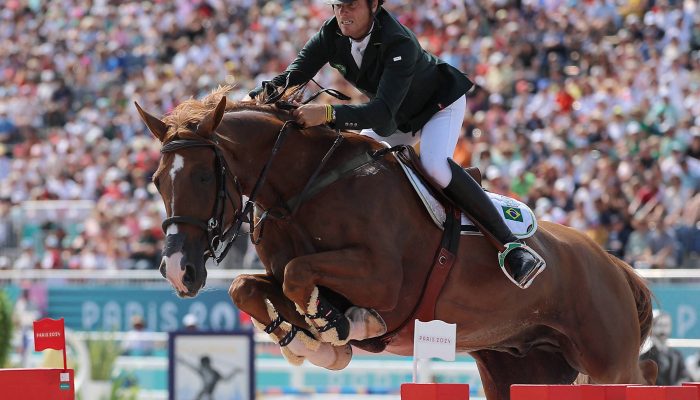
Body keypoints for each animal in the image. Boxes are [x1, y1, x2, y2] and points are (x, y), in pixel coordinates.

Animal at [135, 86, 657, 399]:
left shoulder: (385, 279)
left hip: (608, 363)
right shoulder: (280, 273)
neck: (305, 184)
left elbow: (302, 275)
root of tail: (615, 265)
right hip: (525, 368)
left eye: (205, 176)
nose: (178, 271)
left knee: (643, 377)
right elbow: (246, 286)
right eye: (157, 181)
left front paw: (339, 330)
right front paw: (310, 342)